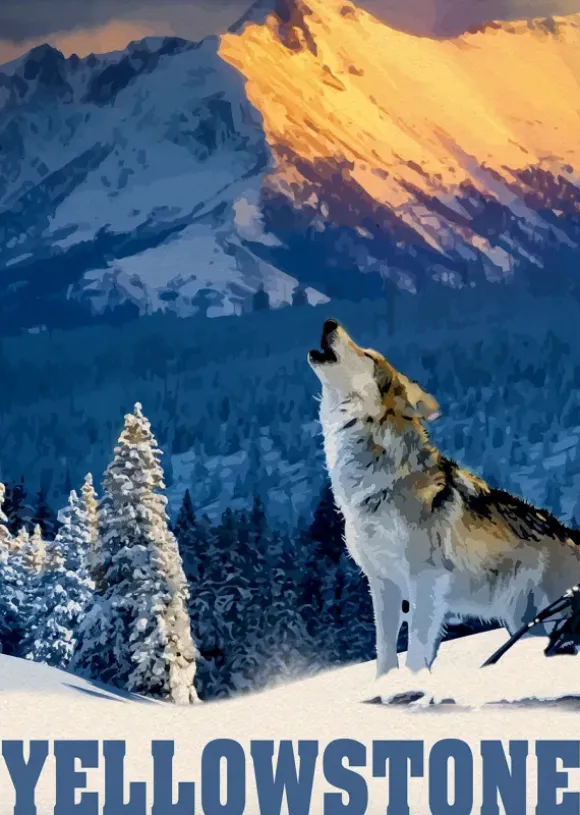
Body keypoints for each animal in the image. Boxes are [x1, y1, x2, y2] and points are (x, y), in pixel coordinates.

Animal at [309, 318, 580, 676]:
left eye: (366, 354)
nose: (329, 322)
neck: (378, 484)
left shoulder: (426, 583)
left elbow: (415, 654)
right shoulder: (383, 585)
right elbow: (385, 655)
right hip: (524, 623)